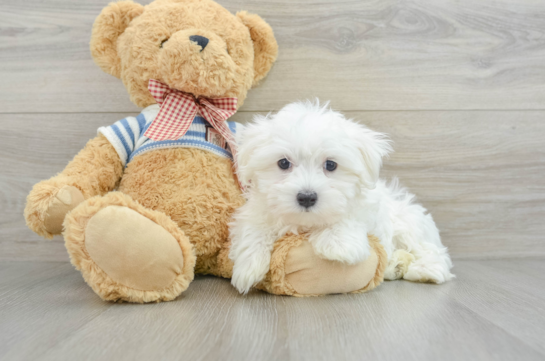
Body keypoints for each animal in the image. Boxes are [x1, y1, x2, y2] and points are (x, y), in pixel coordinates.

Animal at [227, 100, 452, 292]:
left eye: (331, 165)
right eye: (283, 163)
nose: (306, 197)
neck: (306, 223)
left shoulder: (367, 209)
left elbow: (348, 217)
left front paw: (337, 243)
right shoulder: (257, 209)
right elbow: (254, 226)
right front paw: (248, 266)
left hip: (408, 222)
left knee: (429, 249)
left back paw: (425, 270)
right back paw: (395, 265)